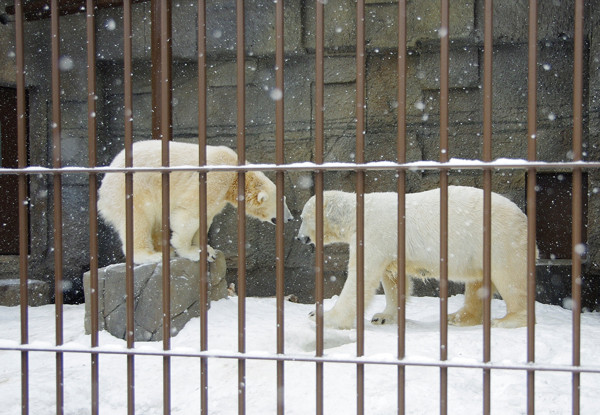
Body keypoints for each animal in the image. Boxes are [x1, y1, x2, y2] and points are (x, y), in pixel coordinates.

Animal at [98, 140, 292, 264]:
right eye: (281, 203)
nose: (290, 219)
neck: (235, 176)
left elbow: (205, 217)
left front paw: (208, 250)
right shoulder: (214, 179)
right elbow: (189, 213)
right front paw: (193, 252)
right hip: (133, 189)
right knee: (138, 220)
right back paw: (151, 255)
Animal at [296, 187, 536, 330]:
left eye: (303, 217)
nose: (299, 238)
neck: (356, 214)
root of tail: (523, 217)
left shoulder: (374, 234)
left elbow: (361, 277)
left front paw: (321, 315)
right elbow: (393, 280)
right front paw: (383, 316)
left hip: (501, 239)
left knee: (510, 277)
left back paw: (506, 320)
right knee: (478, 283)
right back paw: (457, 317)